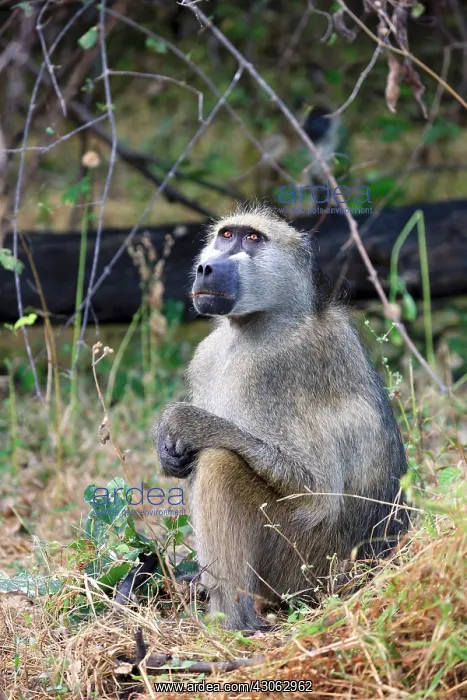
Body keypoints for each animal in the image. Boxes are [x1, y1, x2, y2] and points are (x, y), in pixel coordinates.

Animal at [152, 205, 409, 630]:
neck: (261, 322)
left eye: (252, 239)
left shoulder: (279, 368)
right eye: (226, 235)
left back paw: (232, 622)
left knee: (221, 463)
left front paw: (186, 422)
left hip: (309, 569)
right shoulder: (207, 355)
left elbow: (313, 486)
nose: (206, 267)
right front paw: (168, 452)